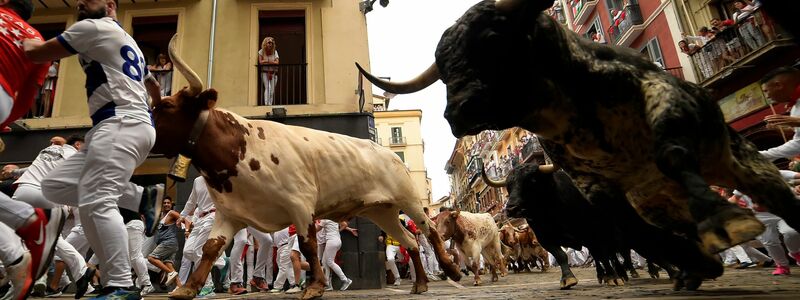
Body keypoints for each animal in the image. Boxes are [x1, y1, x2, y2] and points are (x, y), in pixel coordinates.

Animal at [152, 35, 460, 300]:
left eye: (166, 107)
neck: (240, 148)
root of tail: (390, 155)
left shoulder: (300, 203)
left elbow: (308, 244)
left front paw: (315, 286)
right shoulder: (230, 213)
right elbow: (210, 248)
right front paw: (188, 288)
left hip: (409, 200)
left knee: (430, 231)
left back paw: (451, 269)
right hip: (381, 211)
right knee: (410, 241)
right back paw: (420, 284)